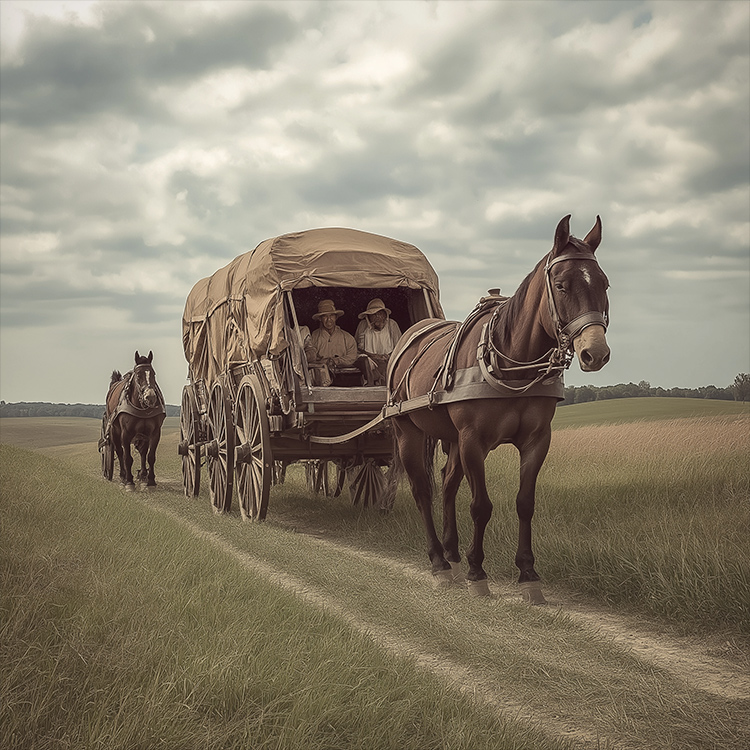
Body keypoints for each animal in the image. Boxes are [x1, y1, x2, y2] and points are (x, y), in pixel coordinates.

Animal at [101, 354, 166, 494]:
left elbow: (150, 456)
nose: (150, 397)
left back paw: (142, 476)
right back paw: (123, 476)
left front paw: (150, 481)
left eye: (153, 374)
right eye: (138, 375)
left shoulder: (154, 433)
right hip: (114, 431)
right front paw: (129, 482)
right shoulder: (126, 433)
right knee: (119, 452)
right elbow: (127, 458)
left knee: (142, 452)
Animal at [388, 217, 612, 604]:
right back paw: (439, 563)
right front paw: (478, 572)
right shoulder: (473, 441)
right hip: (408, 432)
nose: (594, 352)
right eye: (562, 285)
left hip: (451, 438)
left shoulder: (536, 440)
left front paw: (528, 574)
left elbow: (525, 503)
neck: (512, 363)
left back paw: (451, 554)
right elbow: (481, 506)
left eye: (604, 283)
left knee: (447, 484)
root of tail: (411, 334)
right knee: (423, 491)